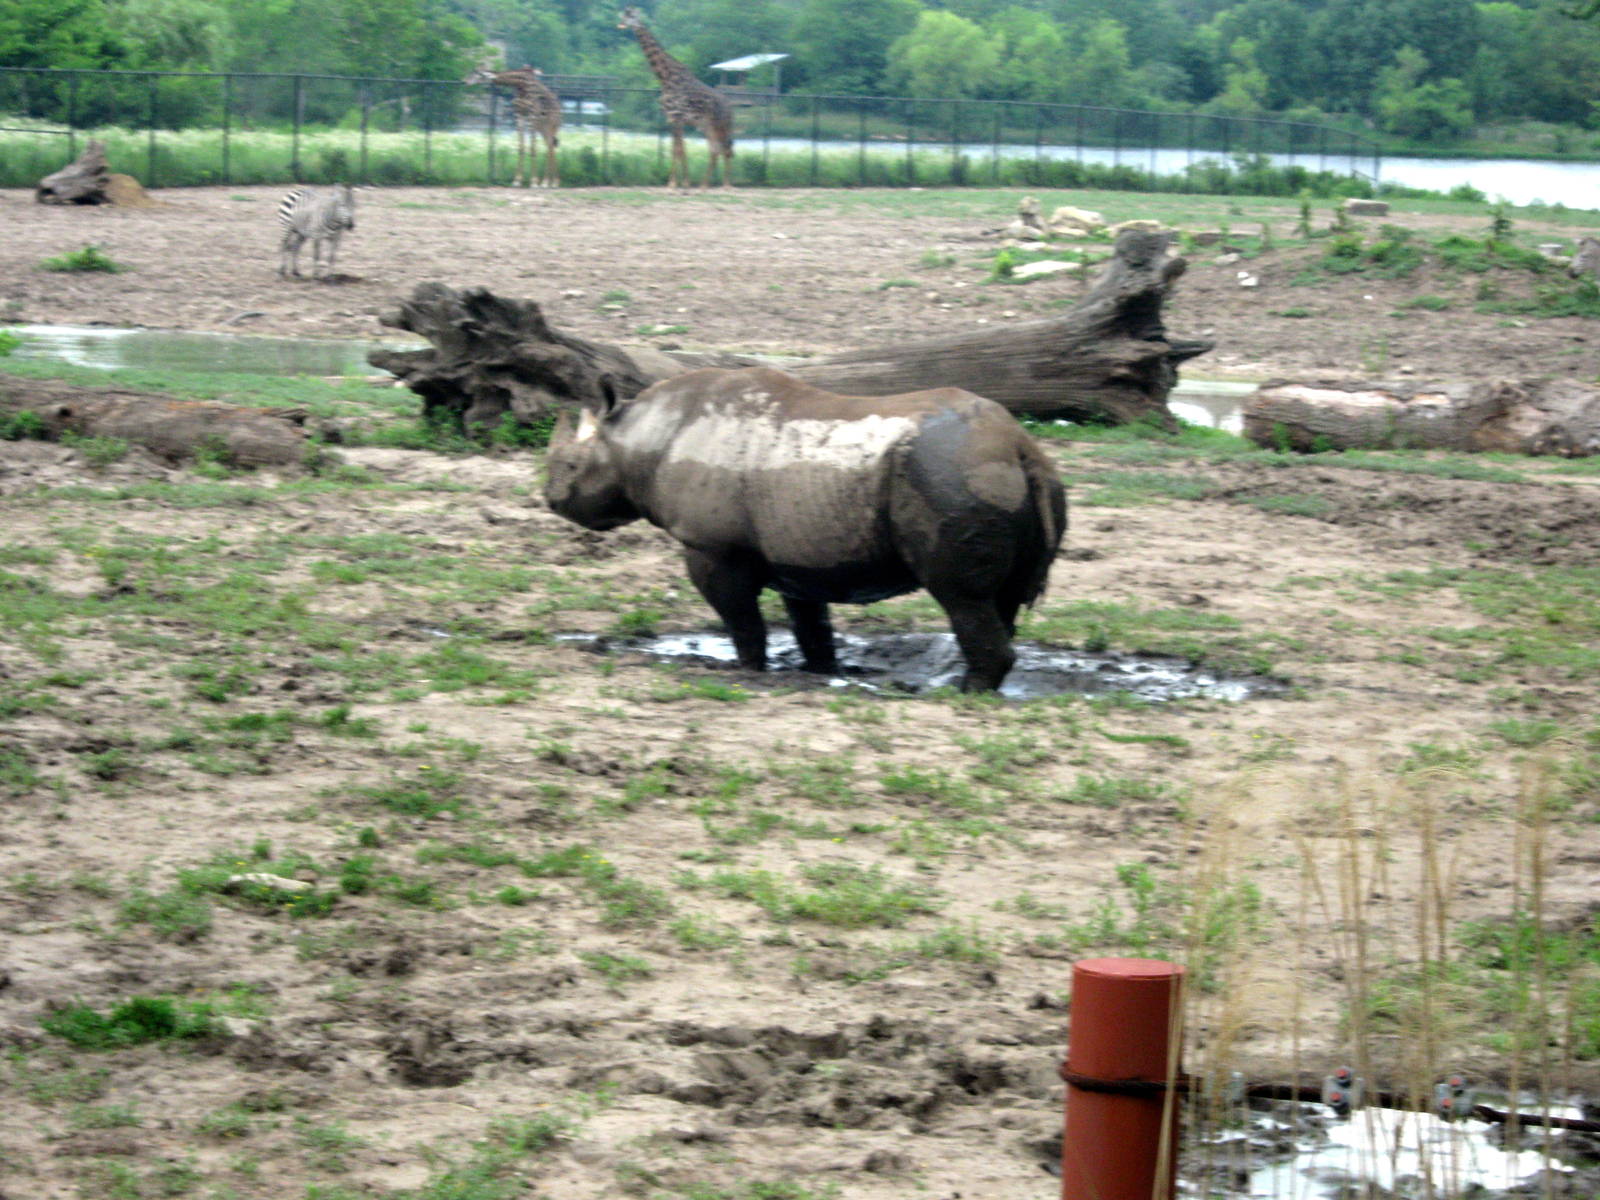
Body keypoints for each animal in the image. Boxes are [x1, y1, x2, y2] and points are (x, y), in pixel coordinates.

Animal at [543, 367, 1066, 691]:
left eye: (570, 466)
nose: (550, 499)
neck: (639, 437)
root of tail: (1018, 445)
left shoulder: (712, 546)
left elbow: (741, 618)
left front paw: (747, 670)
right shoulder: (796, 553)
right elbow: (810, 622)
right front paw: (821, 670)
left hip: (950, 474)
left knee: (962, 597)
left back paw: (962, 692)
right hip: (996, 472)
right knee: (1001, 600)